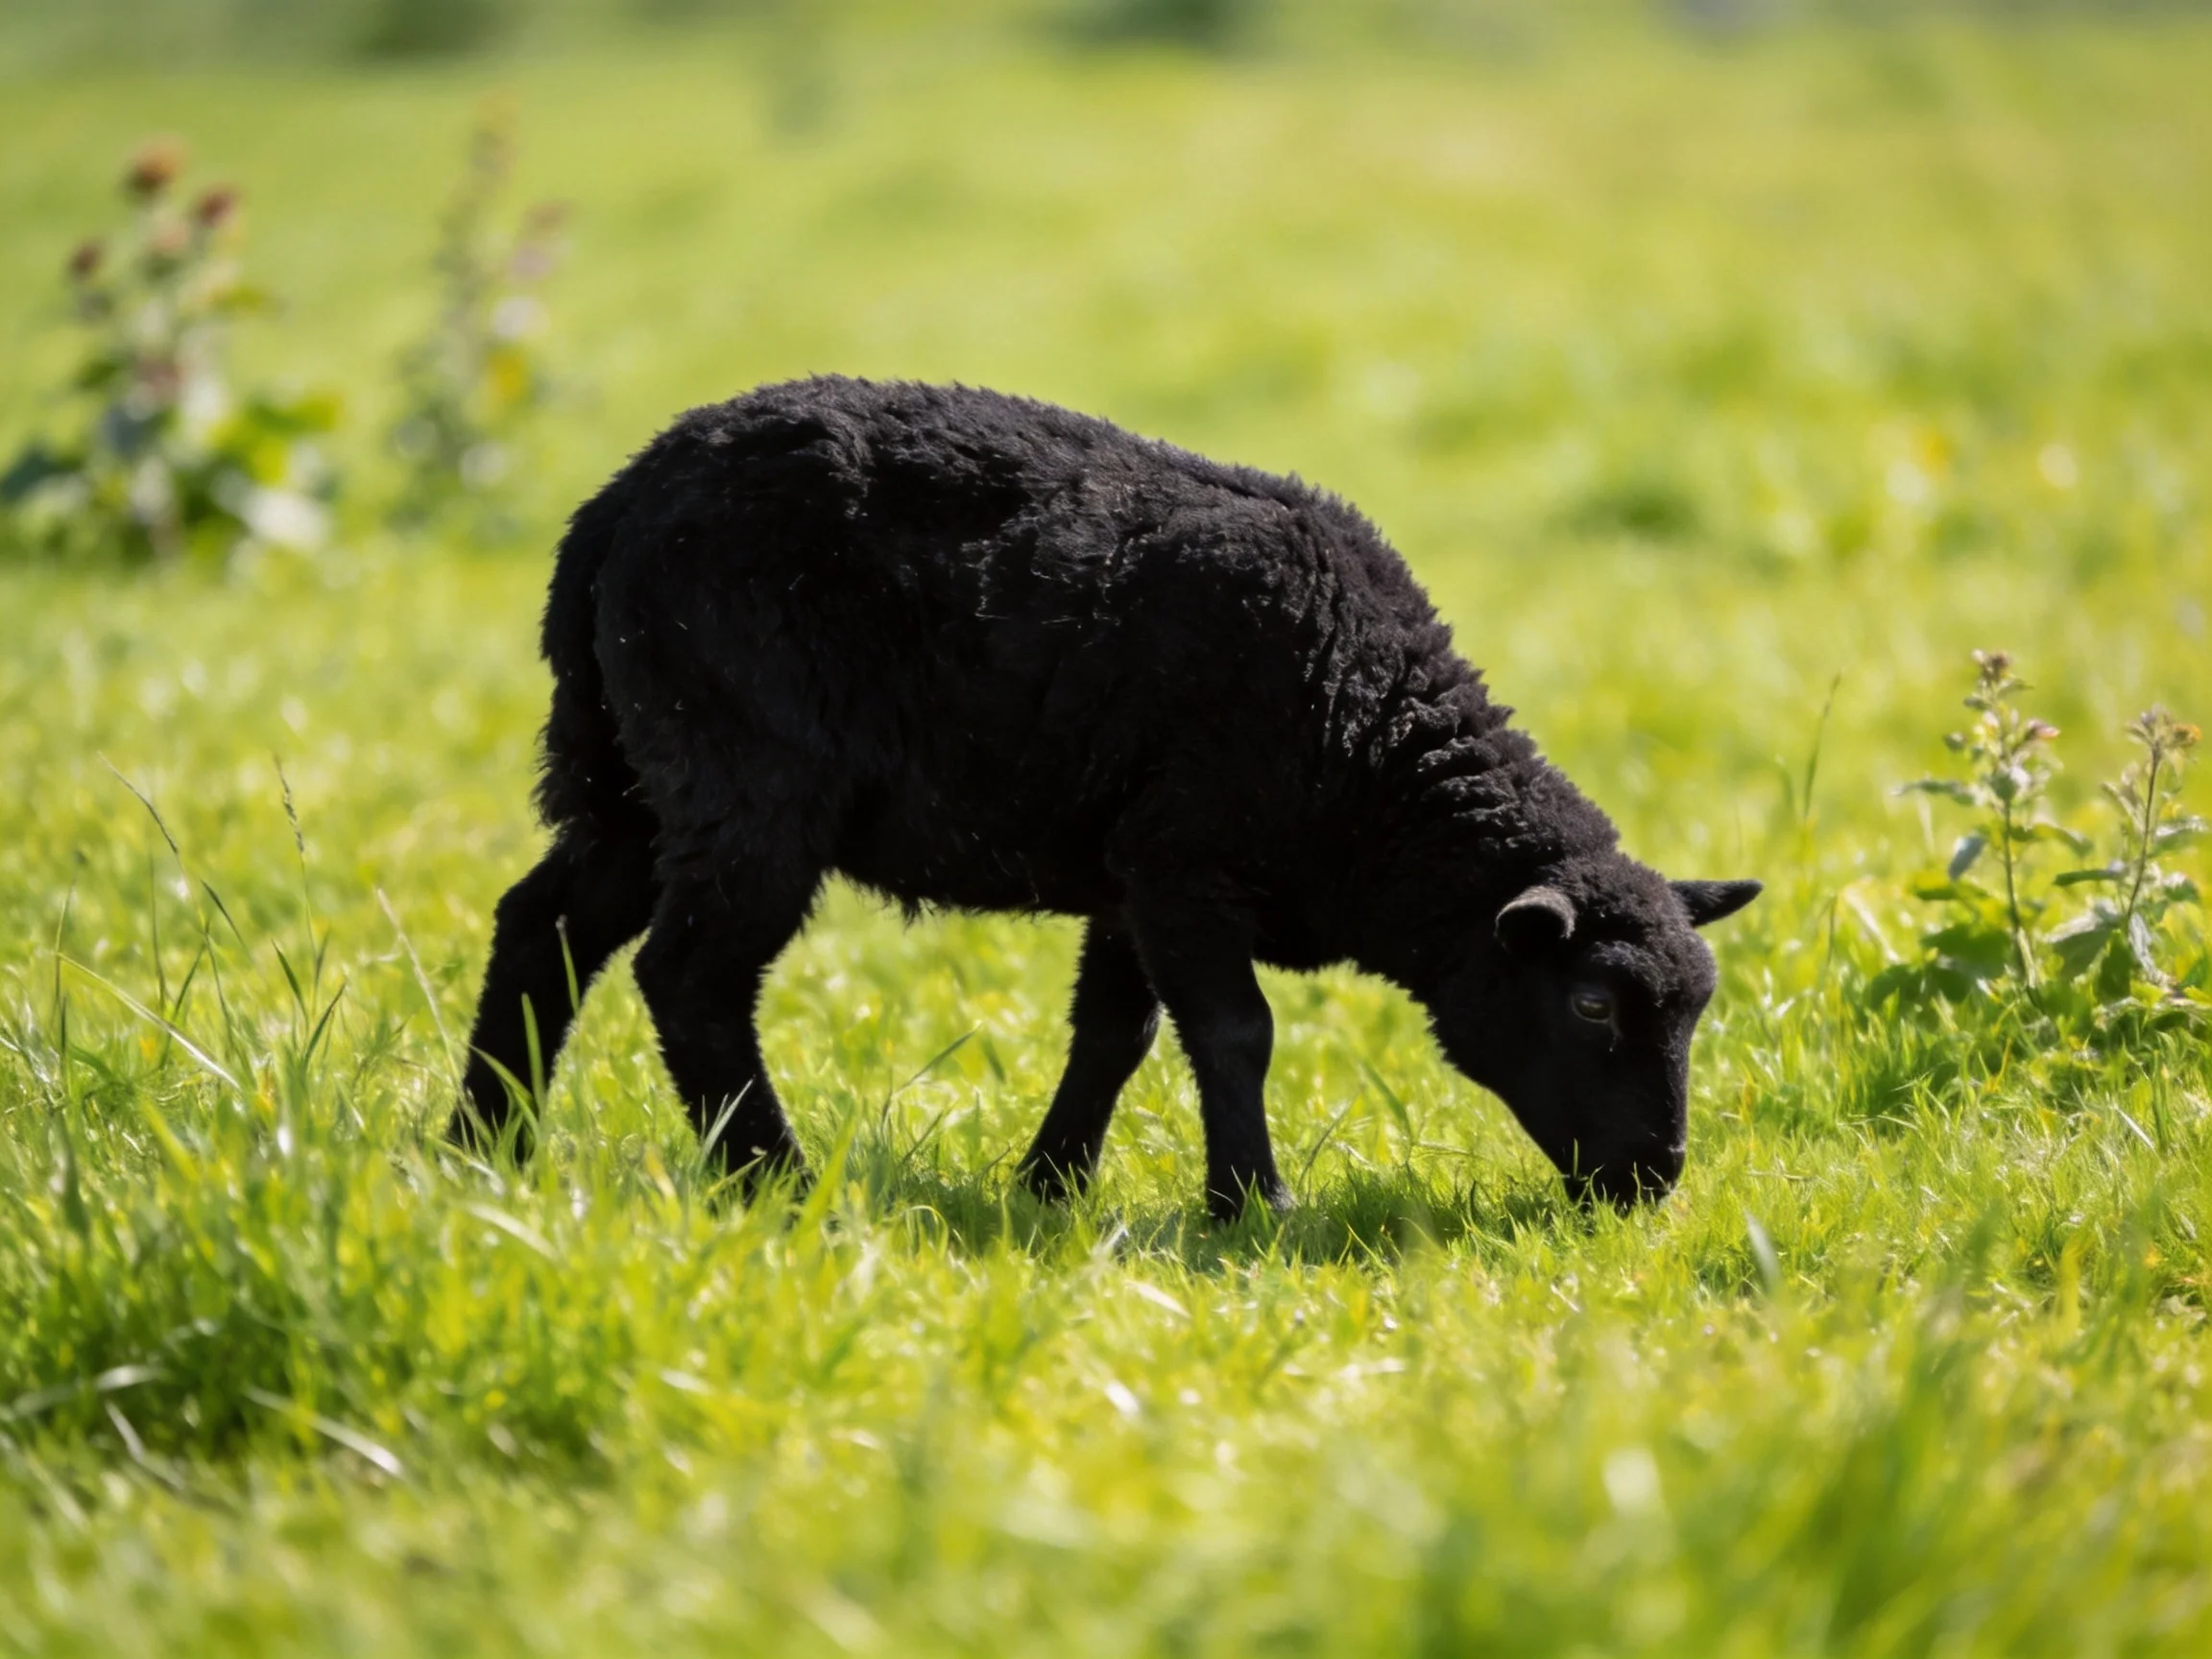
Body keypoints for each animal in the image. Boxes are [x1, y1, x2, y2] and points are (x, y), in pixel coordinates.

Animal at [453, 376, 1759, 1217]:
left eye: (1698, 1010)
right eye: (1592, 1007)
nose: (1654, 1183)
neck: (1372, 746)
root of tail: (612, 509)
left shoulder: (1134, 872)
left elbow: (1114, 1035)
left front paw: (1052, 1189)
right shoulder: (1187, 863)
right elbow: (1236, 1032)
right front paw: (1253, 1207)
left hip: (627, 768)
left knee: (543, 926)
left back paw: (484, 1149)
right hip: (745, 770)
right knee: (691, 975)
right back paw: (771, 1180)